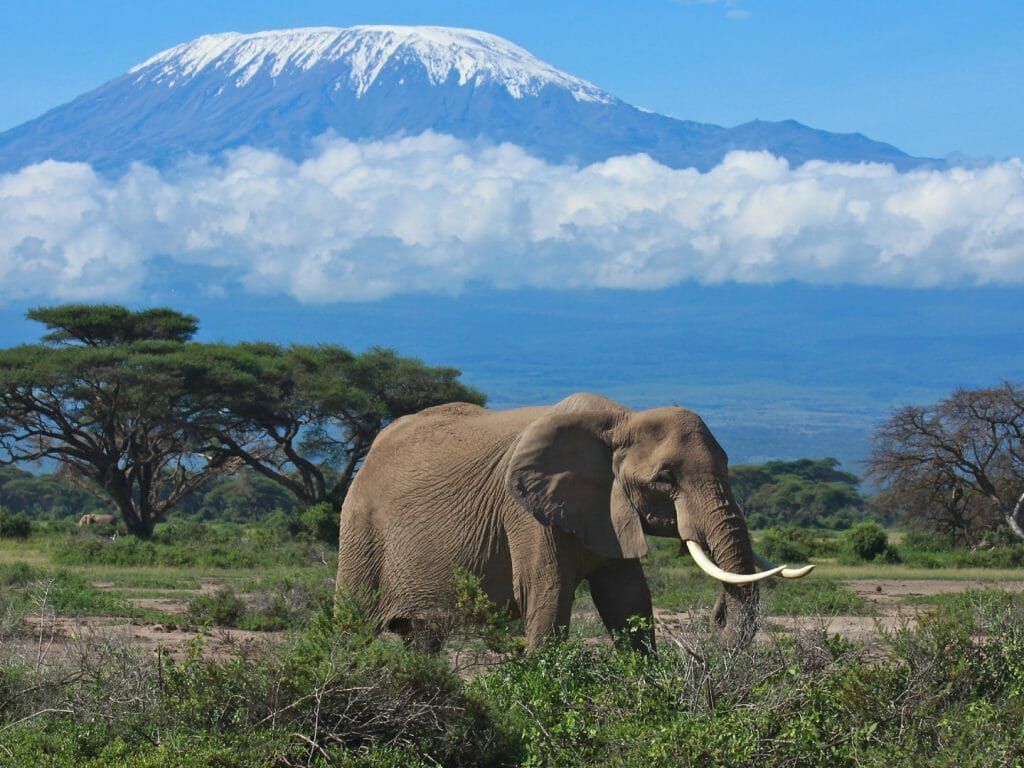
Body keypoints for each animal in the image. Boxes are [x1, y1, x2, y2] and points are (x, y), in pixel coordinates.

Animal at [336, 393, 811, 652]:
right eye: (665, 478)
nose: (716, 617)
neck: (622, 421)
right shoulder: (524, 513)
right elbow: (547, 597)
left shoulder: (608, 509)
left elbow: (628, 600)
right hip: (360, 527)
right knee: (352, 626)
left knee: (423, 638)